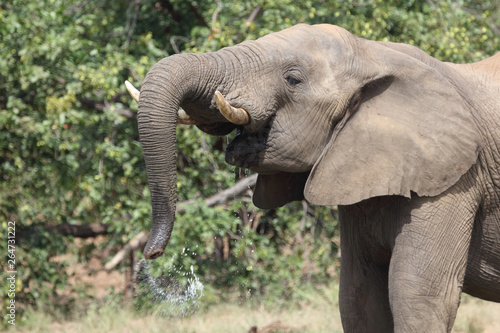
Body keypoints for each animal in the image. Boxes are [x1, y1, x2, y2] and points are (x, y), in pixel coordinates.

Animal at [127, 24, 500, 332]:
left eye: (293, 79)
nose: (151, 256)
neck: (373, 53)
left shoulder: (455, 180)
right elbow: (358, 297)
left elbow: (416, 296)